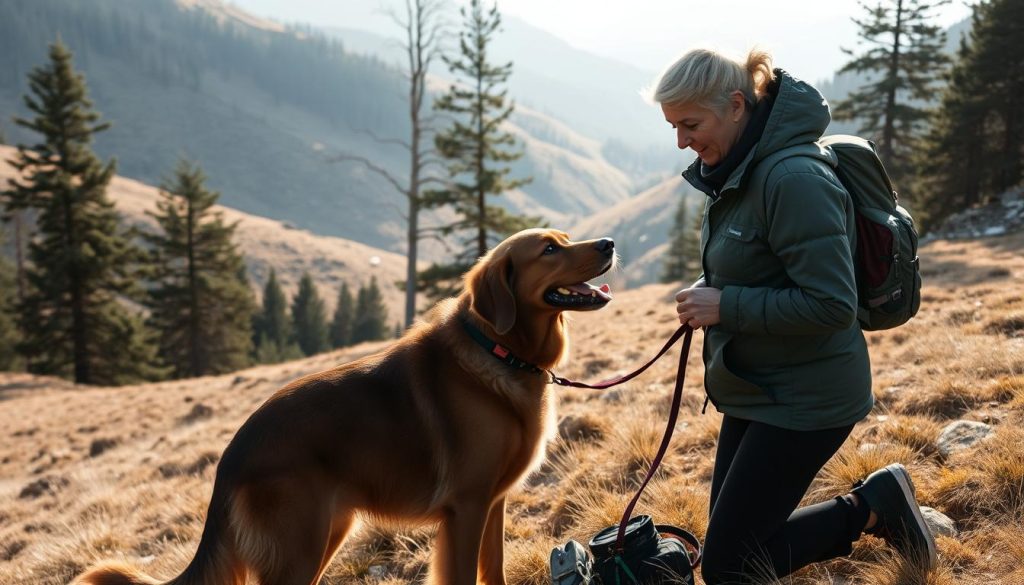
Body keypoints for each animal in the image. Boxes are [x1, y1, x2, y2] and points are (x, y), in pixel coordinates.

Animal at [75, 228, 614, 585]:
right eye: (549, 249)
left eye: (565, 238)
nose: (608, 244)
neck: (500, 351)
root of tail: (230, 457)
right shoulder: (466, 506)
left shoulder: (492, 503)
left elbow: (494, 569)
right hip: (298, 547)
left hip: (325, 534)